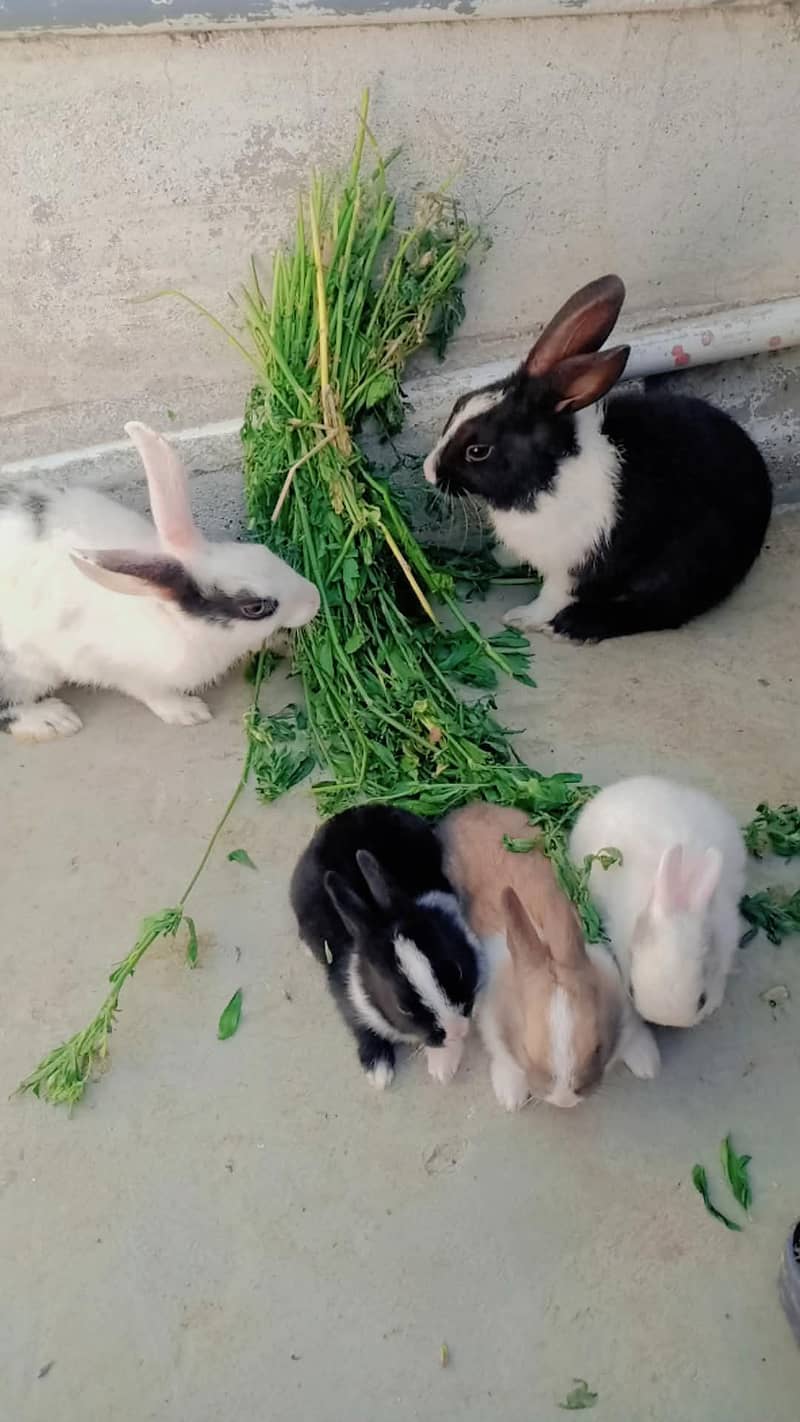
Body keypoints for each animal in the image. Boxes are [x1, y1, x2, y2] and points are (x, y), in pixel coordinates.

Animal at [0, 422, 319, 741]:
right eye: (254, 607)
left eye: (263, 550)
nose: (315, 598)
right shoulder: (125, 672)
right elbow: (153, 694)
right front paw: (189, 712)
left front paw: (286, 645)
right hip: (24, 671)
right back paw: (55, 720)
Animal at [290, 804, 482, 1089]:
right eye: (403, 1008)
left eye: (457, 971)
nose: (457, 1030)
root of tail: (344, 816)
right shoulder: (347, 995)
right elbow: (361, 1026)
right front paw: (378, 1071)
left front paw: (442, 1068)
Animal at [423, 274, 772, 643]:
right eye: (460, 402)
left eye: (478, 451)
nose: (429, 471)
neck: (549, 472)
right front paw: (498, 557)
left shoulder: (572, 567)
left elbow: (552, 596)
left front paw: (522, 618)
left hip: (682, 566)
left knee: (656, 611)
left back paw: (570, 625)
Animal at [440, 803, 659, 1111]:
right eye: (525, 1050)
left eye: (598, 1047)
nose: (564, 1100)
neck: (548, 945)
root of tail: (469, 808)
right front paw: (511, 1097)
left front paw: (647, 1063)